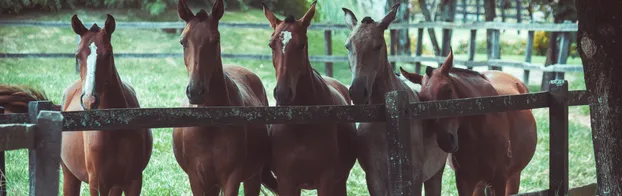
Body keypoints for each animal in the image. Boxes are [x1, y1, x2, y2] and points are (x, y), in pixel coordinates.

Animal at [59, 14, 154, 196]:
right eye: (77, 55)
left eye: (108, 53)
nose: (89, 100)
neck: (115, 126)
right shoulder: (97, 183)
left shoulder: (133, 181)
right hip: (70, 176)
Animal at [172, 0, 276, 195]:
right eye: (183, 42)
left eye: (215, 41)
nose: (195, 91)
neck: (210, 125)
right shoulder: (197, 179)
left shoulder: (231, 179)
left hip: (253, 177)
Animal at [264, 1, 358, 194]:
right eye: (271, 45)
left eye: (301, 44)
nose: (282, 93)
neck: (301, 123)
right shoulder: (286, 181)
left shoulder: (326, 179)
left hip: (340, 181)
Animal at [344, 3, 450, 195]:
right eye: (348, 46)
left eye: (378, 46)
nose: (357, 92)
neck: (388, 117)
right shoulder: (374, 179)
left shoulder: (413, 178)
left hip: (435, 174)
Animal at [400, 49, 540, 195]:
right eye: (422, 99)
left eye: (448, 89)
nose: (446, 141)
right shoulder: (465, 181)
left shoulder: (499, 180)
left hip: (513, 176)